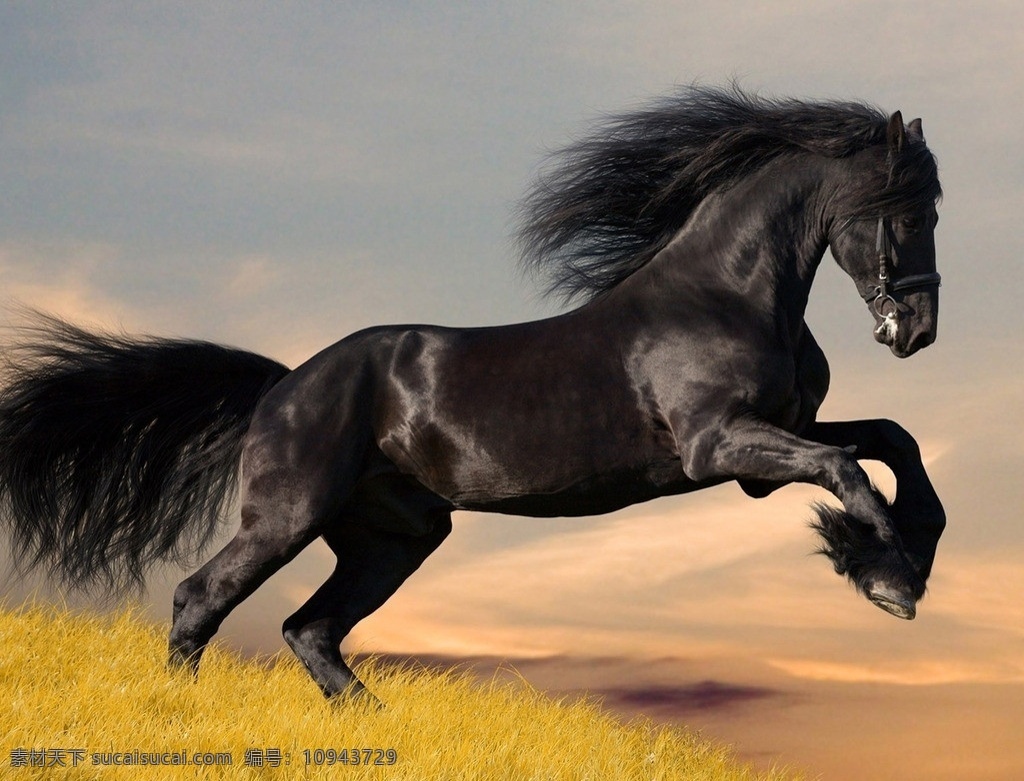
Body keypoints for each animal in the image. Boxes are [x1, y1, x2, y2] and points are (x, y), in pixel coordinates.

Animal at [0, 87, 942, 704]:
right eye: (907, 211)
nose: (918, 330)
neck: (725, 294)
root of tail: (284, 384)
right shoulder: (721, 446)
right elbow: (848, 471)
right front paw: (886, 576)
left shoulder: (773, 440)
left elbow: (892, 441)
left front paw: (903, 558)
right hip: (288, 516)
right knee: (203, 598)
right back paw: (183, 711)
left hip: (395, 537)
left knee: (310, 629)